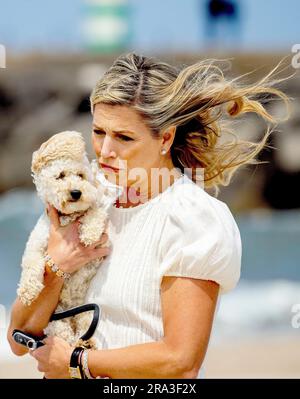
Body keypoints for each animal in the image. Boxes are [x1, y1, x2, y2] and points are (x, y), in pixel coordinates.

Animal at [16, 132, 110, 350]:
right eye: (60, 175)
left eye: (81, 176)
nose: (76, 192)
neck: (68, 217)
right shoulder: (35, 246)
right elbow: (32, 264)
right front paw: (28, 290)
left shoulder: (100, 246)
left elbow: (95, 212)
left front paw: (89, 232)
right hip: (55, 321)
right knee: (65, 336)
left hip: (86, 313)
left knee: (82, 328)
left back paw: (87, 342)